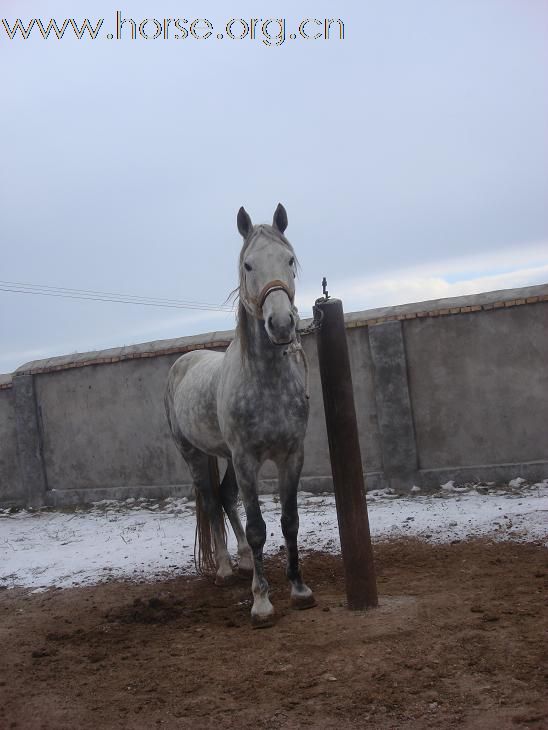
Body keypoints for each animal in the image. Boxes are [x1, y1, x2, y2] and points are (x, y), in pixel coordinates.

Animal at [165, 202, 314, 624]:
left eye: (290, 259)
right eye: (248, 265)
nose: (281, 325)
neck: (266, 380)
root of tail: (182, 364)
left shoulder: (291, 455)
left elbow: (289, 521)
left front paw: (299, 589)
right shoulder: (248, 459)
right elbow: (258, 526)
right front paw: (261, 602)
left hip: (227, 456)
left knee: (226, 497)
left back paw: (245, 561)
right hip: (195, 454)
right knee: (211, 501)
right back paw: (225, 569)